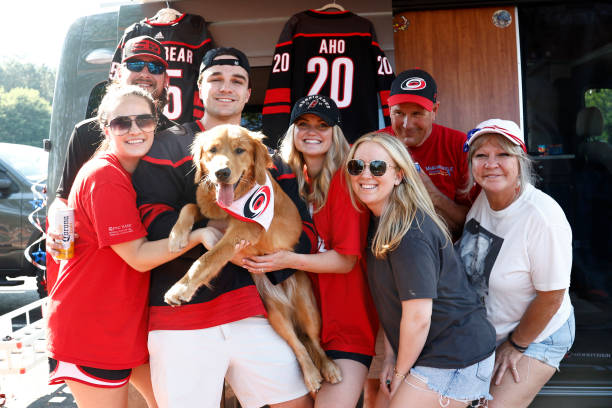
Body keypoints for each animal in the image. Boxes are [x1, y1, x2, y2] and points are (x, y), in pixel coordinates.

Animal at [165, 123, 342, 392]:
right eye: (212, 150)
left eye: (240, 150)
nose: (222, 173)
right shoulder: (208, 210)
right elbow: (189, 207)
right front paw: (176, 235)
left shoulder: (243, 231)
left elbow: (207, 259)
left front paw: (181, 288)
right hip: (276, 315)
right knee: (298, 345)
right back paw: (311, 375)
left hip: (309, 310)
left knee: (314, 342)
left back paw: (328, 369)